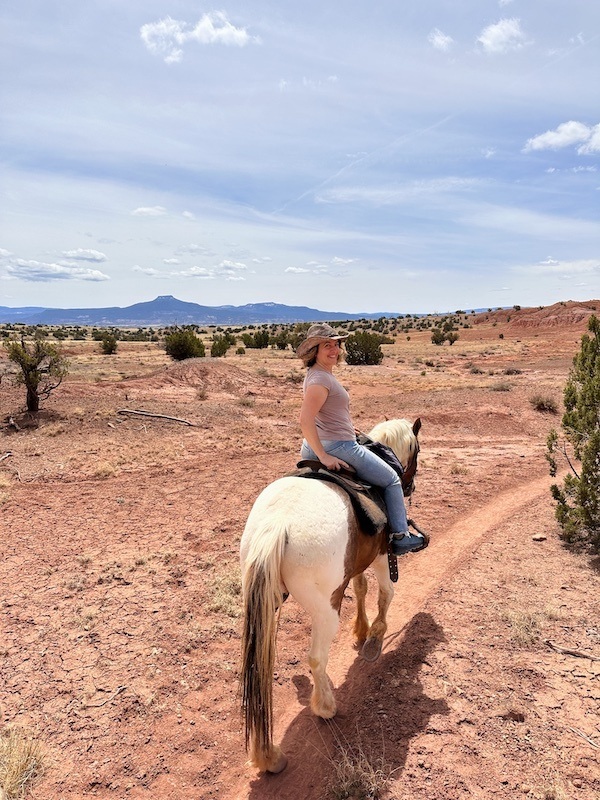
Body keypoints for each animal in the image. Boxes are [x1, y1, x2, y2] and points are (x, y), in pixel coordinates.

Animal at [240, 418, 422, 776]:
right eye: (417, 451)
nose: (408, 487)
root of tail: (278, 522)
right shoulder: (383, 555)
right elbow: (386, 592)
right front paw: (375, 637)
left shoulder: (356, 565)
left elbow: (362, 588)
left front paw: (362, 630)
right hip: (325, 610)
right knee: (316, 658)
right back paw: (325, 707)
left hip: (267, 603)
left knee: (260, 668)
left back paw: (268, 754)